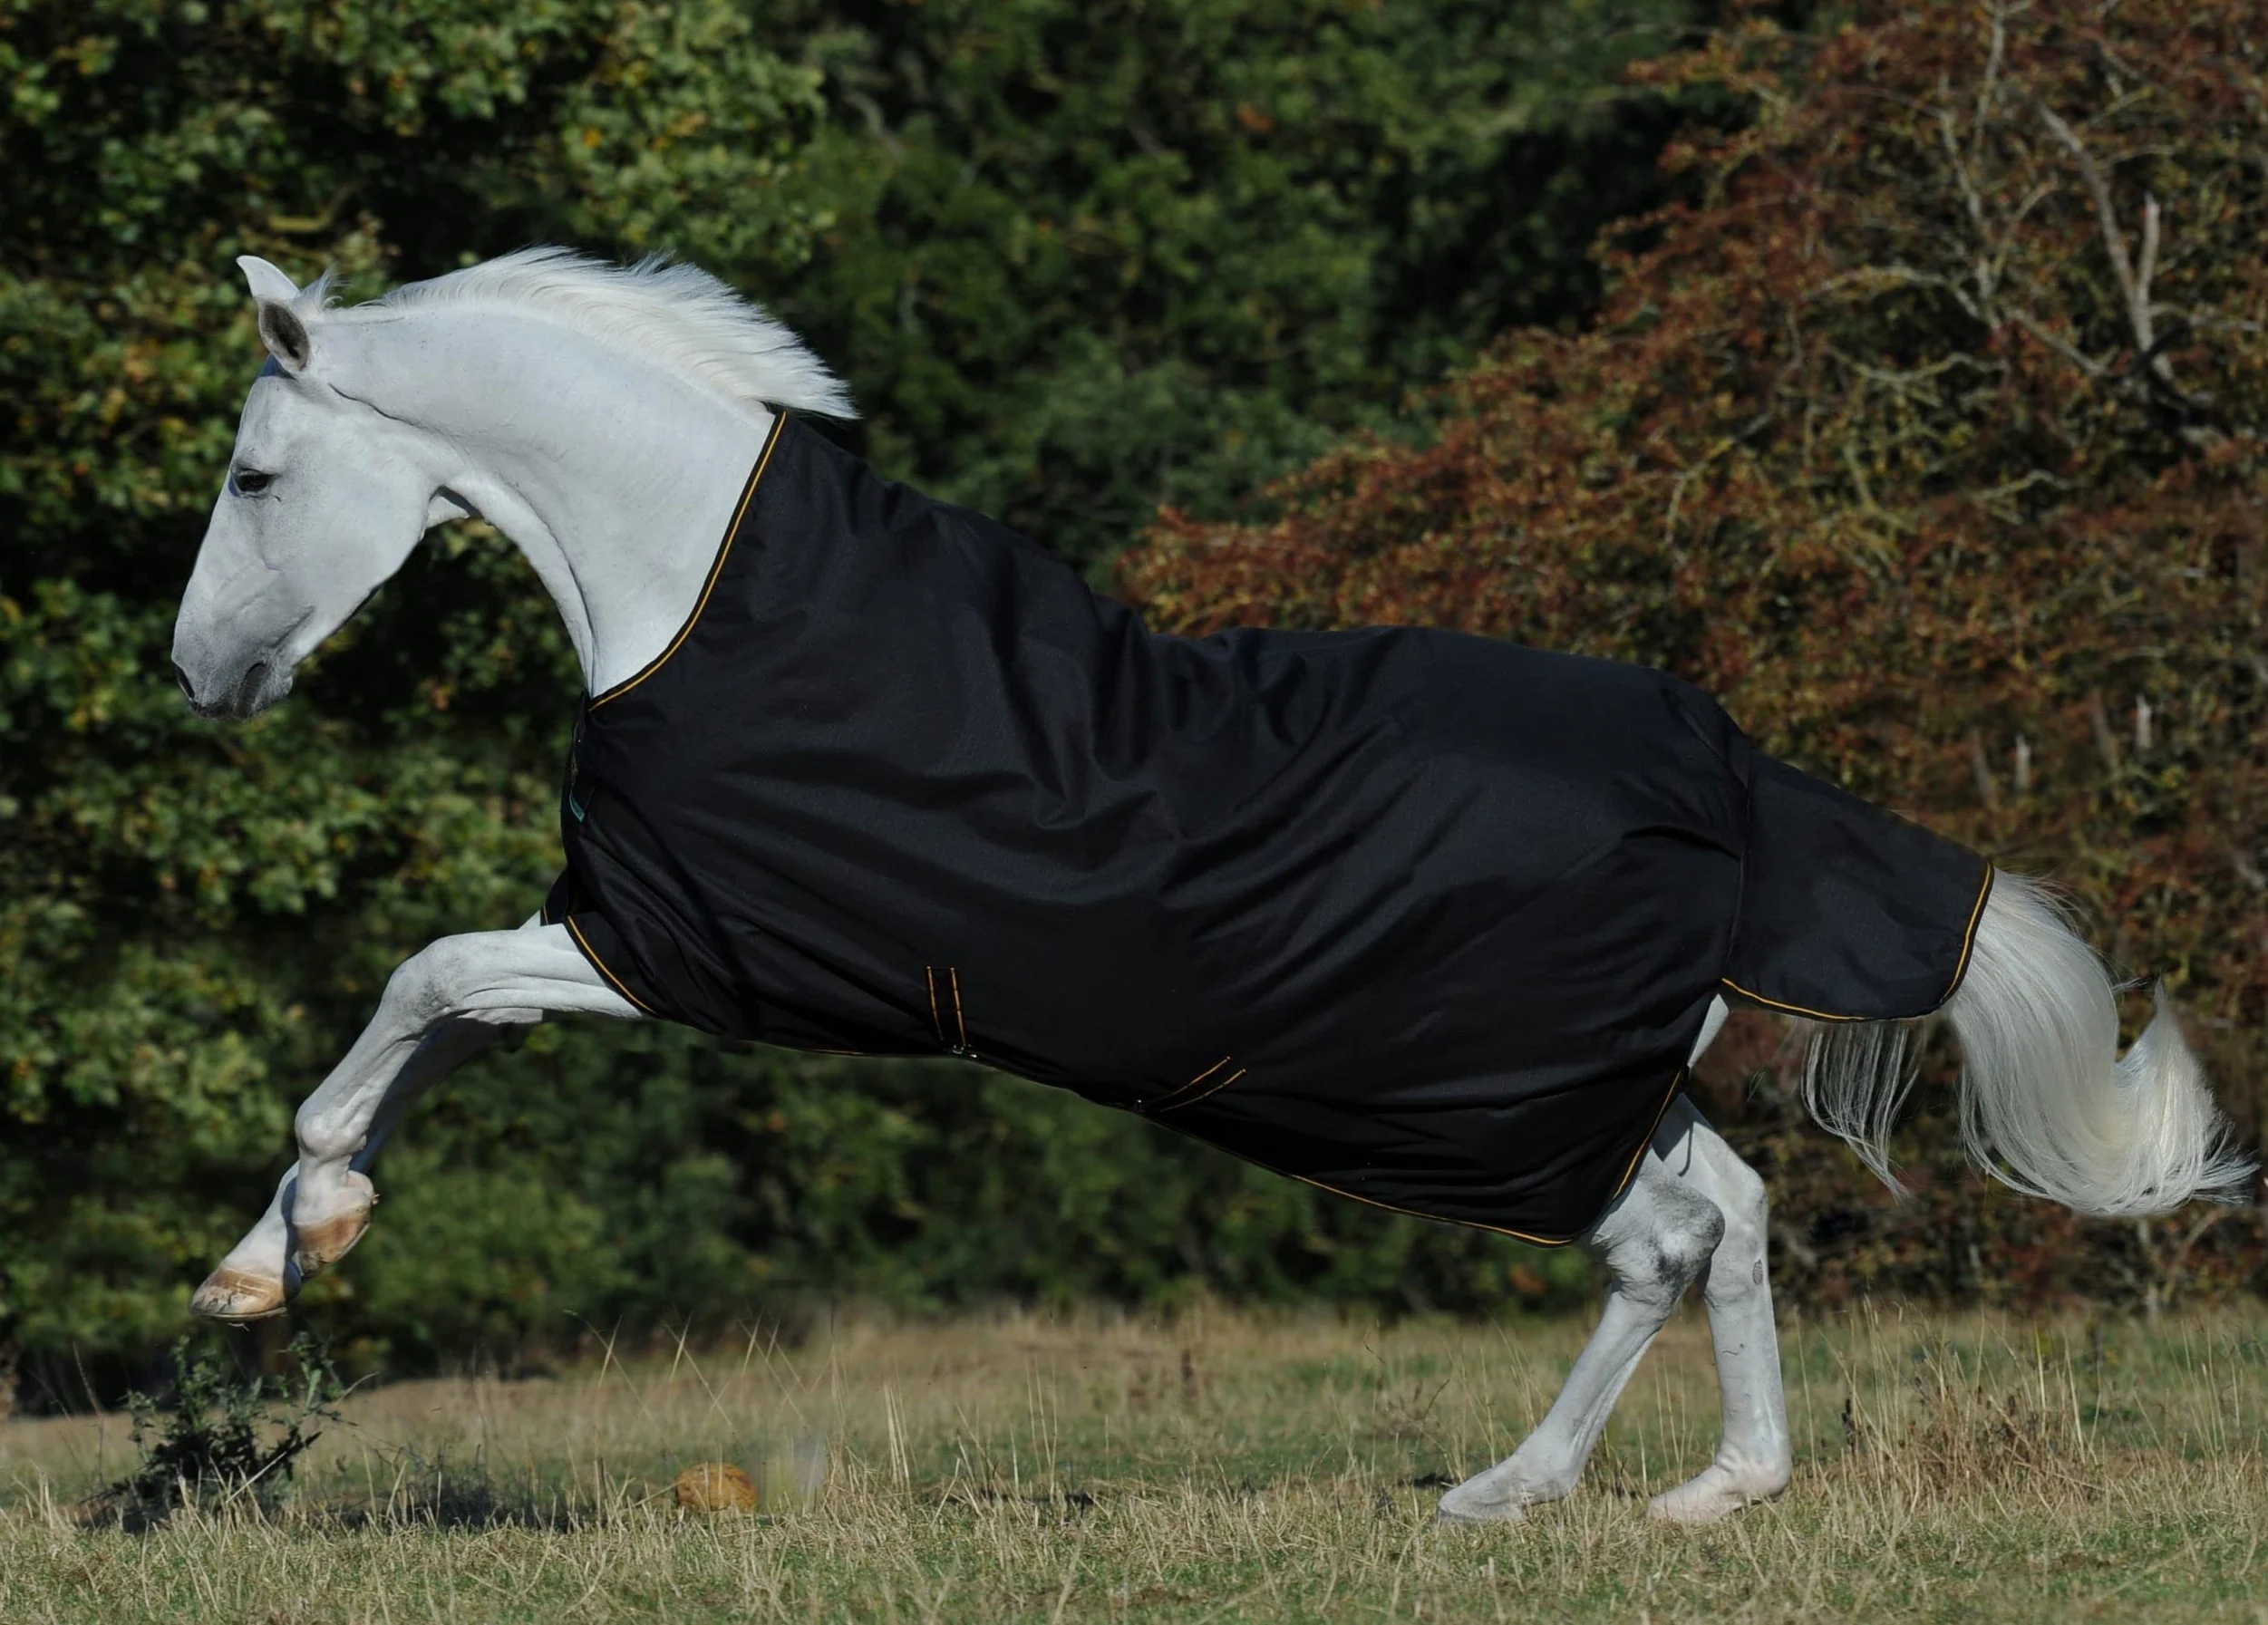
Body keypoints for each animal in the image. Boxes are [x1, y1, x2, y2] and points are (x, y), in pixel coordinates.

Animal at [170, 249, 2250, 1526]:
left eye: (258, 474)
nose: (199, 676)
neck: (701, 586)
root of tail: (1728, 776)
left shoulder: (690, 947)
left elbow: (425, 984)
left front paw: (268, 1258)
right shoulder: (635, 935)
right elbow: (435, 1017)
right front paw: (290, 1251)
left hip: (1481, 1099)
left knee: (1658, 1240)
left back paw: (1509, 1491)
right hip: (1587, 1079)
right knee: (1726, 1217)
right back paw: (1698, 1488)